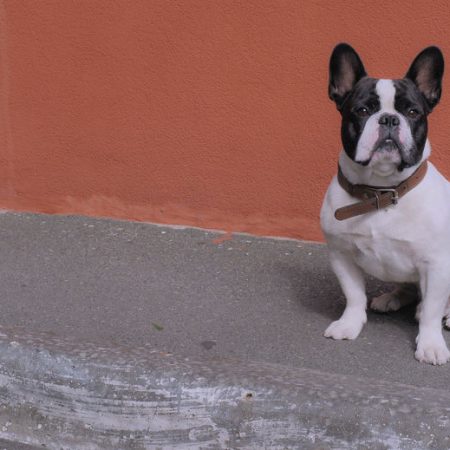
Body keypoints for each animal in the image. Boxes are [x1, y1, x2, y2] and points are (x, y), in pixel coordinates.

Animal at [320, 43, 450, 366]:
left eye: (413, 112)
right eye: (362, 110)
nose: (389, 119)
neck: (381, 191)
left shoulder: (437, 264)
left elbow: (431, 312)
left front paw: (430, 344)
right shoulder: (341, 255)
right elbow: (354, 295)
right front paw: (350, 324)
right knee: (408, 287)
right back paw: (392, 298)